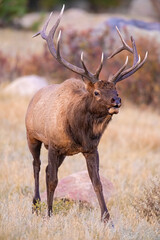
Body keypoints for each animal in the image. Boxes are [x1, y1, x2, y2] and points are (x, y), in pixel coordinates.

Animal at [25, 4, 148, 222]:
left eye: (117, 91)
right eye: (97, 92)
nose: (116, 102)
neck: (79, 132)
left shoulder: (91, 149)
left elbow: (96, 182)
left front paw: (107, 219)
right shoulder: (54, 144)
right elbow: (52, 180)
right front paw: (49, 214)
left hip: (59, 151)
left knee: (46, 168)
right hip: (32, 136)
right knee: (37, 166)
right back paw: (36, 204)